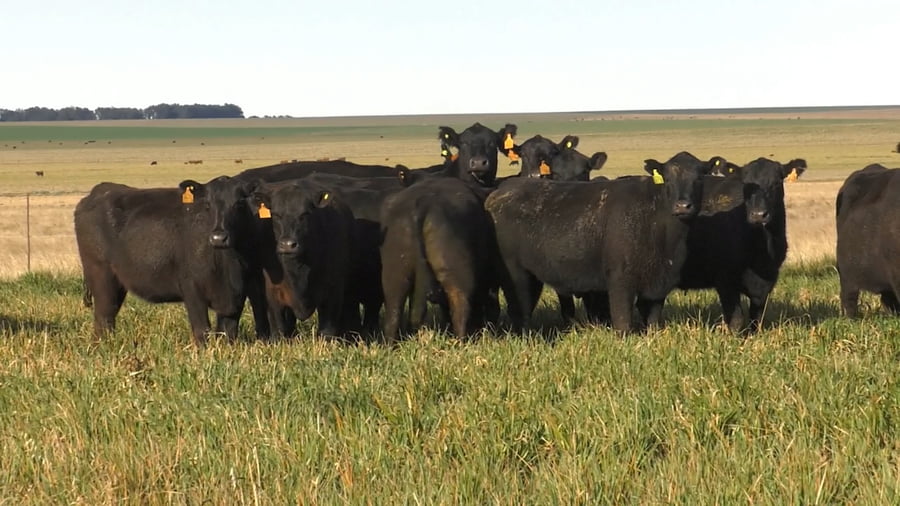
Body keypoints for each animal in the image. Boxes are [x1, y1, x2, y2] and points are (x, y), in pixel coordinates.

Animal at [74, 180, 269, 345]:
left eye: (239, 204)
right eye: (207, 205)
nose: (218, 237)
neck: (226, 265)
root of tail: (99, 190)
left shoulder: (237, 294)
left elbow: (228, 333)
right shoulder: (191, 289)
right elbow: (201, 330)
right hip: (101, 276)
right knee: (104, 318)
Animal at [251, 179, 356, 338]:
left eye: (305, 214)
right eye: (275, 215)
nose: (288, 245)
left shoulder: (333, 293)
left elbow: (327, 331)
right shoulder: (273, 296)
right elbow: (279, 330)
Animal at [380, 177, 498, 343]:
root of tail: (422, 203)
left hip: (395, 274)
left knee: (393, 312)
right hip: (458, 274)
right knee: (460, 306)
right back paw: (462, 342)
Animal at [486, 151, 725, 334]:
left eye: (699, 179)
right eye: (667, 179)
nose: (683, 205)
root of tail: (499, 194)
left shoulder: (658, 286)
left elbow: (653, 322)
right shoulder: (619, 281)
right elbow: (623, 322)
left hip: (532, 275)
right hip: (515, 274)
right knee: (519, 310)